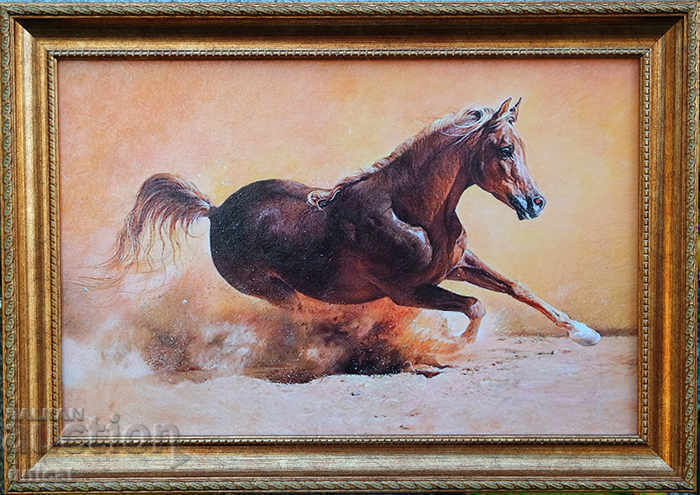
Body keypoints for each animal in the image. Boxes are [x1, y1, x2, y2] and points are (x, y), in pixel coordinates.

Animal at [106, 97, 601, 350]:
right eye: (504, 149)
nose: (536, 203)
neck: (410, 211)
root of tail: (216, 211)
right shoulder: (406, 291)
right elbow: (475, 308)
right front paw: (453, 345)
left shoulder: (457, 266)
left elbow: (518, 287)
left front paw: (584, 333)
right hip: (273, 289)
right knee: (309, 316)